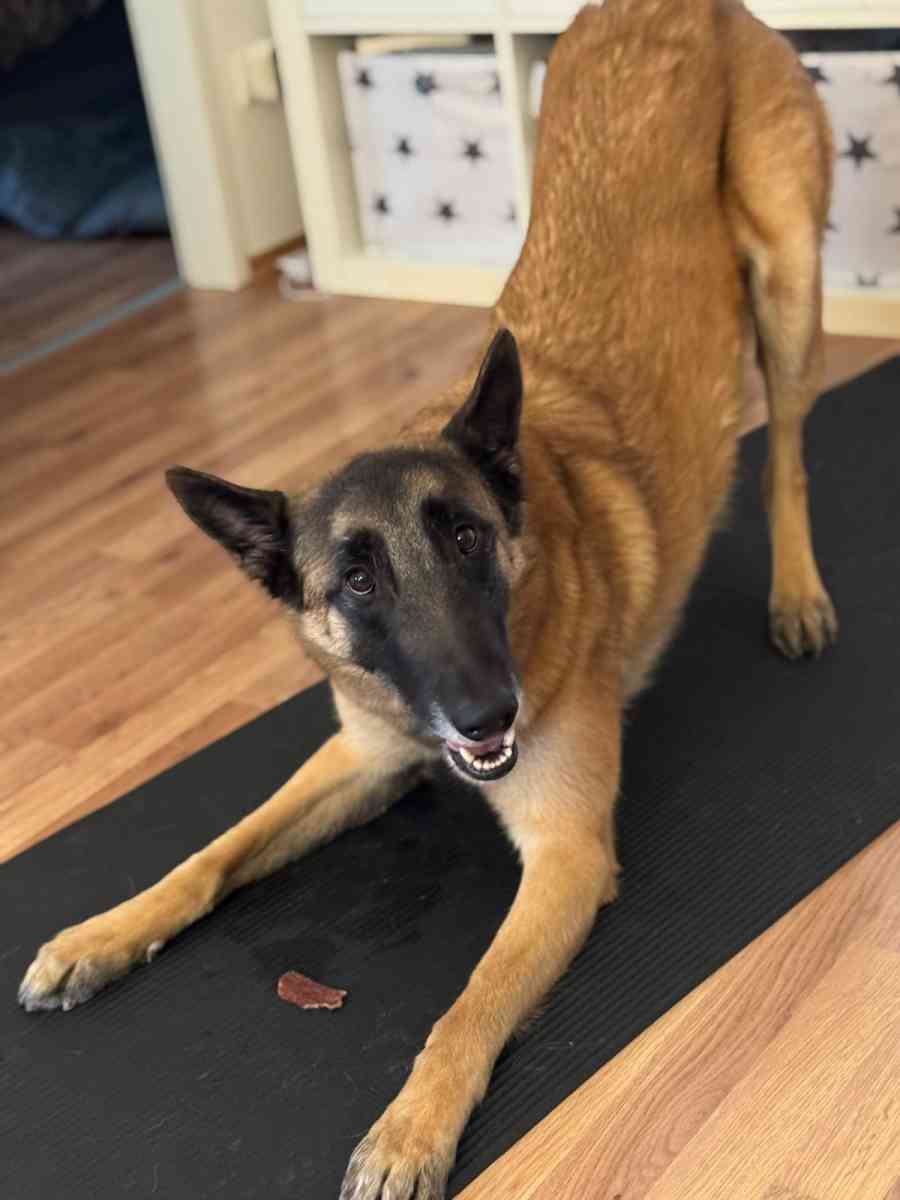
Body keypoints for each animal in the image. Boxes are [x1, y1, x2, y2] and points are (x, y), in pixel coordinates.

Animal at [19, 2, 837, 1196]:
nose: (489, 714)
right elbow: (213, 852)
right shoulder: (358, 759)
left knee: (786, 452)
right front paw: (103, 933)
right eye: (355, 578)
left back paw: (797, 589)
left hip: (785, 270)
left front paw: (410, 1130)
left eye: (466, 538)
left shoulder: (566, 856)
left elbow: (467, 1007)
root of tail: (674, 13)